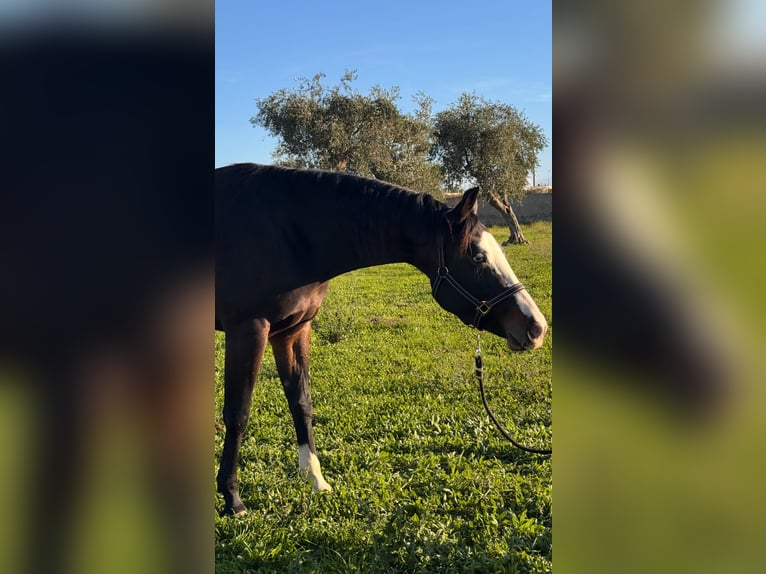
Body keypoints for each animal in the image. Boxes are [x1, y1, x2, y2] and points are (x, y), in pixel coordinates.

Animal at [215, 163, 548, 516]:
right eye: (478, 257)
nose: (536, 327)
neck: (288, 234)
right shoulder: (249, 330)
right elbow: (237, 414)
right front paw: (232, 498)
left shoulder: (293, 331)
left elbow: (301, 403)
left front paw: (316, 479)